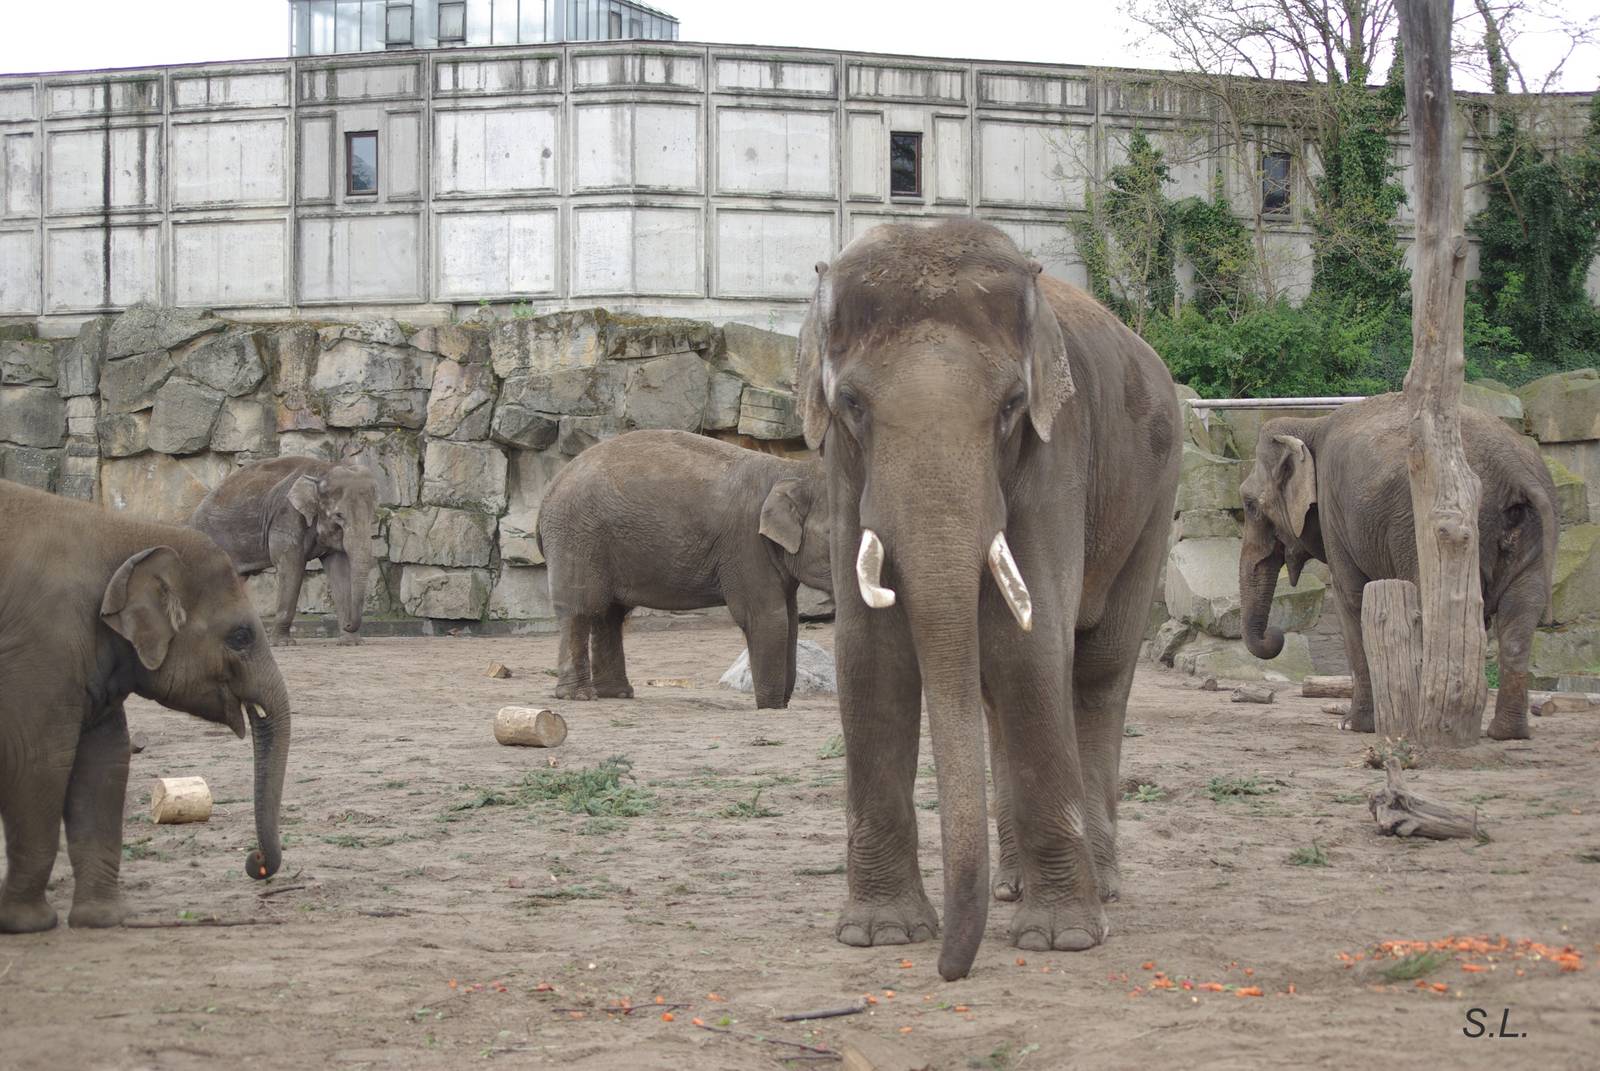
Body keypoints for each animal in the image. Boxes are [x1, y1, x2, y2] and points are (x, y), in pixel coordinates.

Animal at [0, 478, 291, 933]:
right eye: (241, 636)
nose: (256, 863)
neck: (126, 533)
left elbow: (105, 762)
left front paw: (103, 919)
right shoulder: (42, 643)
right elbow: (38, 762)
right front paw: (28, 924)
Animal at [190, 456, 379, 646]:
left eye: (373, 515)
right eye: (339, 515)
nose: (348, 624)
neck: (323, 469)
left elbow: (338, 569)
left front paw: (351, 642)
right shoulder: (287, 516)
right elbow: (291, 565)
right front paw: (283, 643)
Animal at [537, 429, 833, 709]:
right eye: (832, 537)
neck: (790, 469)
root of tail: (549, 492)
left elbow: (791, 620)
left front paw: (781, 704)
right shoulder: (747, 545)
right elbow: (767, 618)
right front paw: (771, 708)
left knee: (609, 613)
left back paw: (616, 694)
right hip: (577, 537)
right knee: (581, 609)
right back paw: (579, 696)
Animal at [794, 220, 1181, 980]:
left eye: (1009, 407)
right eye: (852, 405)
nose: (952, 969)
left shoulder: (1058, 449)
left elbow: (1028, 648)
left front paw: (1062, 940)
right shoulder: (844, 467)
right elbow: (869, 654)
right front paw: (881, 934)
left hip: (1158, 488)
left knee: (1098, 670)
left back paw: (1099, 883)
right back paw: (1011, 885)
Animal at [1238, 393, 1558, 741]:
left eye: (1249, 505)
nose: (1276, 634)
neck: (1310, 423)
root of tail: (1513, 466)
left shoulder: (1333, 511)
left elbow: (1351, 599)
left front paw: (1353, 725)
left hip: (1430, 528)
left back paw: (1429, 724)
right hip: (1533, 534)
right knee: (1520, 615)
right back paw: (1504, 733)